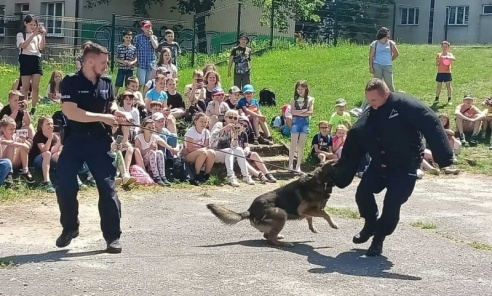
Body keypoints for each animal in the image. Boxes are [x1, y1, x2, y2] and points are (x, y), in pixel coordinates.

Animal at [207, 160, 338, 247]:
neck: (320, 180)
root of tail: (250, 210)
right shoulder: (304, 209)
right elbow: (325, 214)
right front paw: (333, 224)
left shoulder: (307, 211)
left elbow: (310, 218)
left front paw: (313, 228)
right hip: (281, 213)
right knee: (270, 239)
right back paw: (284, 243)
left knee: (267, 235)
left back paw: (279, 236)